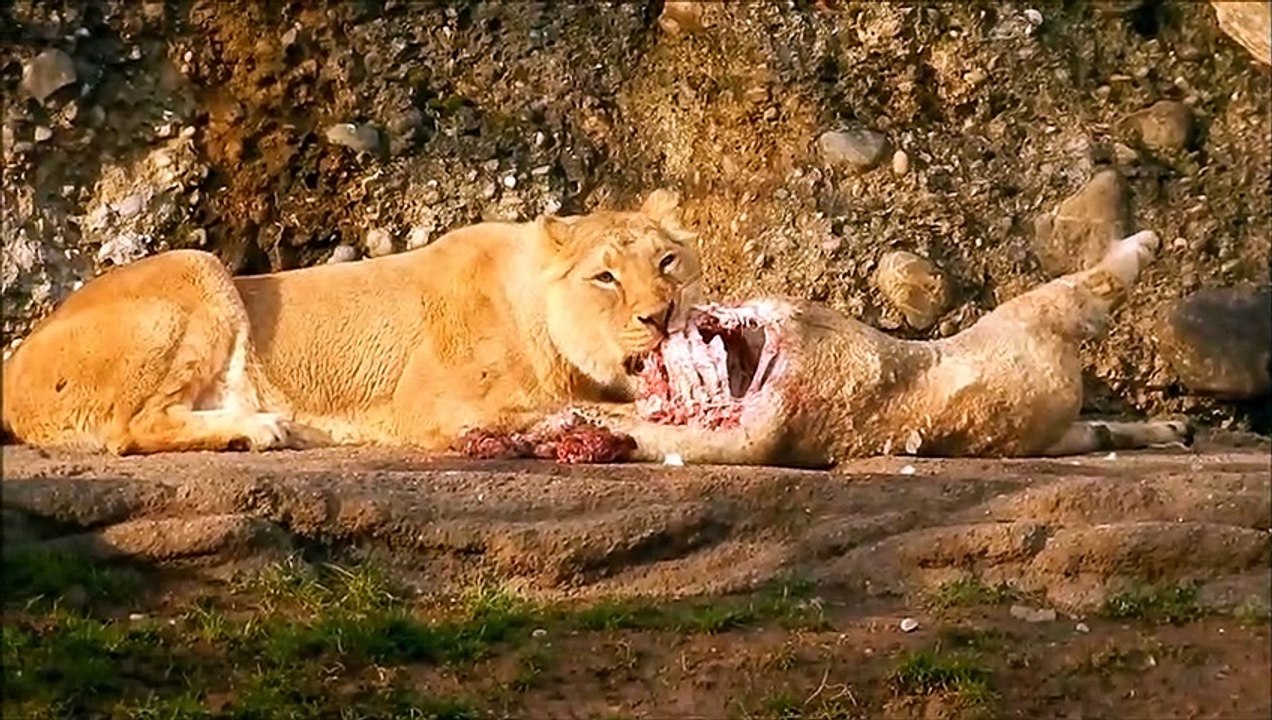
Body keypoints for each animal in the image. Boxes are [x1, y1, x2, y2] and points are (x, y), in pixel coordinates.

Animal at [1, 190, 702, 455]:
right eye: (605, 278)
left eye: (667, 260)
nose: (661, 313)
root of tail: (10, 372)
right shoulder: (437, 408)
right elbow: (569, 409)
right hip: (196, 266)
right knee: (131, 428)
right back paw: (259, 428)